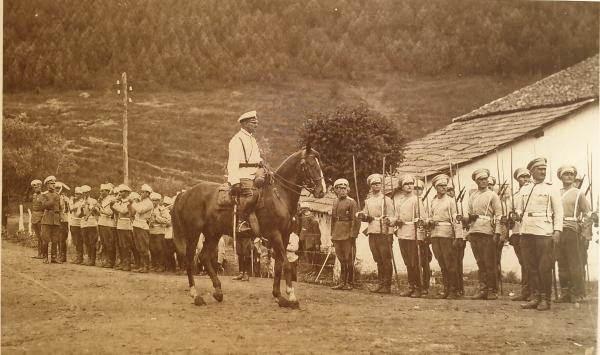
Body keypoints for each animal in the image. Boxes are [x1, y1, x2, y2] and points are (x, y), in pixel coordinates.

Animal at [171, 146, 326, 308]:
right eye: (310, 164)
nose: (322, 191)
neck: (279, 195)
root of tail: (186, 193)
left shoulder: (285, 236)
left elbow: (278, 265)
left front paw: (279, 296)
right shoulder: (275, 235)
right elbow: (286, 265)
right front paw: (291, 296)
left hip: (213, 234)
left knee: (204, 257)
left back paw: (218, 291)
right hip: (193, 234)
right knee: (189, 260)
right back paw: (196, 295)